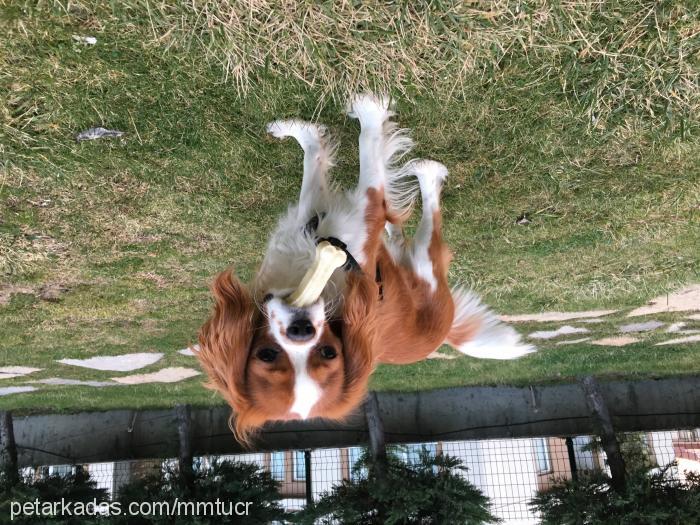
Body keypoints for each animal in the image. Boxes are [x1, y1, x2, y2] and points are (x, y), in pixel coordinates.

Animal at [194, 94, 532, 442]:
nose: (301, 330)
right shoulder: (339, 217)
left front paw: (317, 125)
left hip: (418, 264)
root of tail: (443, 334)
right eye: (267, 354)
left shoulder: (337, 217)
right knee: (426, 228)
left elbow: (336, 156)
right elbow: (345, 158)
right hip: (424, 265)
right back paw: (420, 190)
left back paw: (412, 200)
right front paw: (351, 117)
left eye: (328, 353)